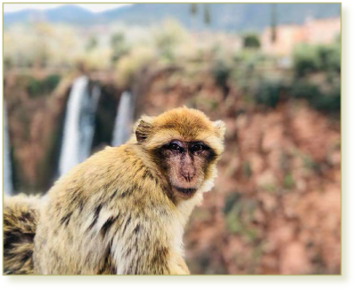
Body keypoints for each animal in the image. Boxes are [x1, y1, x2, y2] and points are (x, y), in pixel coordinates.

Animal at [4, 107, 224, 276]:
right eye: (175, 147)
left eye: (198, 148)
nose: (188, 173)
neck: (149, 167)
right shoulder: (142, 200)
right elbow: (144, 270)